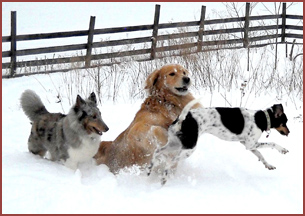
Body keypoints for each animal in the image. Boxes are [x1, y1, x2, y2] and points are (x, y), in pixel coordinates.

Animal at [147, 98, 290, 185]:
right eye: (285, 122)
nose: (289, 132)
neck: (260, 118)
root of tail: (181, 120)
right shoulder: (251, 144)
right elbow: (272, 144)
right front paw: (283, 149)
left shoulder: (249, 145)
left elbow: (261, 156)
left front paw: (269, 165)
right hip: (189, 148)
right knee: (170, 161)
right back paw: (164, 178)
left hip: (175, 143)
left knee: (157, 151)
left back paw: (149, 169)